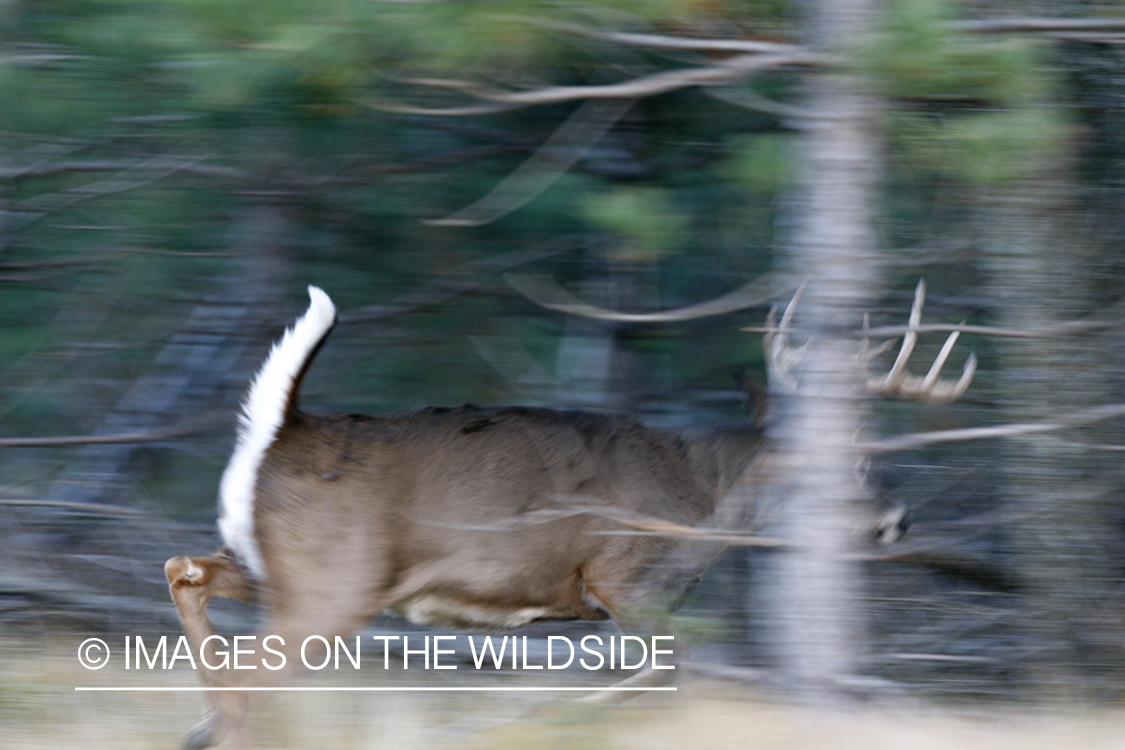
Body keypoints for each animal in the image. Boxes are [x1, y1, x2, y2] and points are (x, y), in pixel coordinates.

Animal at [163, 284, 972, 746]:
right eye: (855, 461)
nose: (899, 518)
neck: (704, 504)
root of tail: (283, 429)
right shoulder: (621, 575)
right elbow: (662, 676)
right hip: (335, 579)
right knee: (245, 669)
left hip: (290, 569)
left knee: (186, 570)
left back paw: (197, 728)